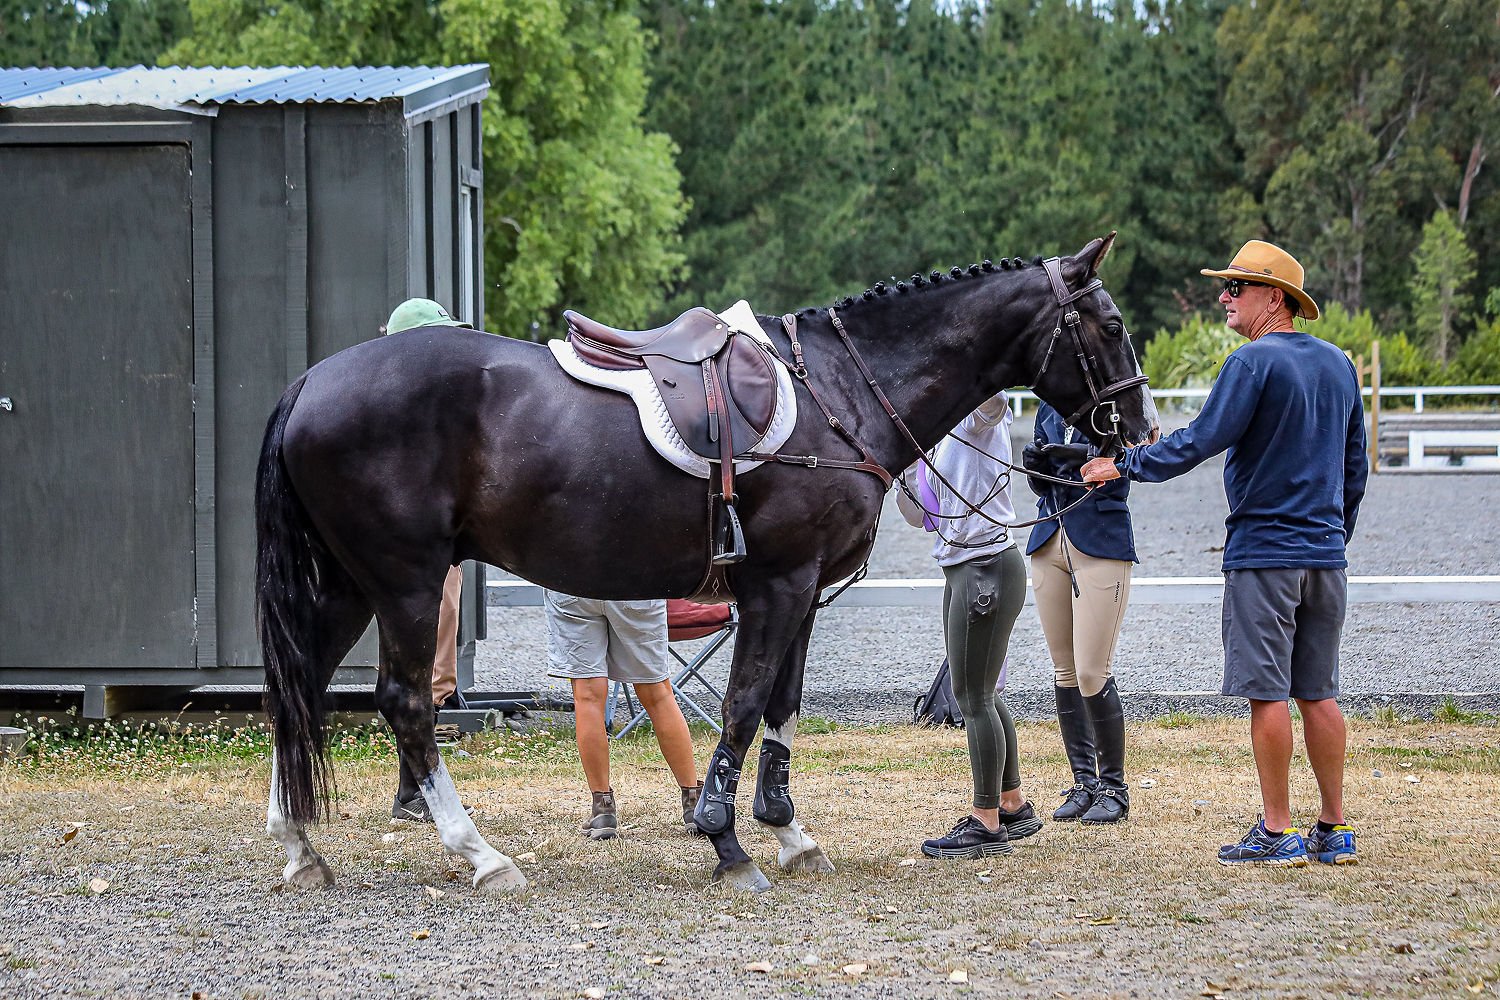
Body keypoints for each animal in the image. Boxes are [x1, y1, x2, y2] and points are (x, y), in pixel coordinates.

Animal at [255, 233, 1158, 893]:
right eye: (1110, 326)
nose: (1142, 428)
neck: (837, 392)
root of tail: (309, 383)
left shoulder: (804, 591)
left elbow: (781, 709)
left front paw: (787, 831)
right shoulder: (777, 586)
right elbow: (744, 705)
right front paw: (726, 842)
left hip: (350, 584)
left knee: (299, 685)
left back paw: (300, 846)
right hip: (405, 582)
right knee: (404, 703)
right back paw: (478, 852)